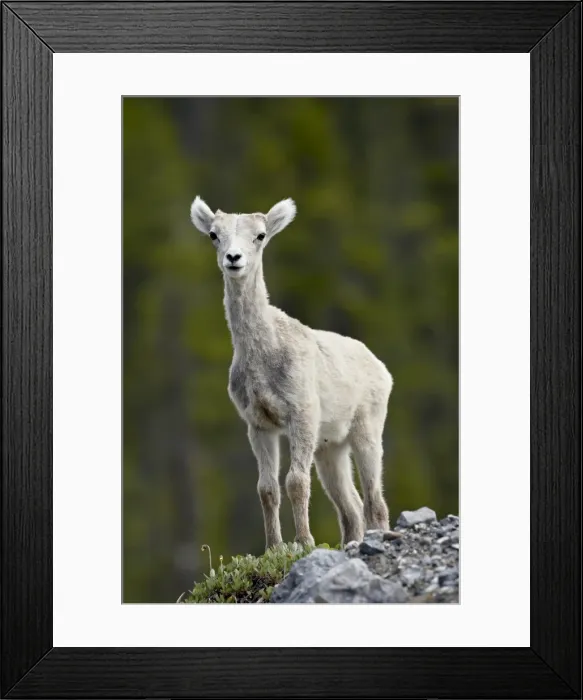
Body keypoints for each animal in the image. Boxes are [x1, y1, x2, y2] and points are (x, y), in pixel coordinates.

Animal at [190, 196, 393, 549]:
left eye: (260, 235)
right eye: (214, 235)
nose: (234, 258)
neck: (265, 357)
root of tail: (383, 371)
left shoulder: (302, 415)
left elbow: (295, 481)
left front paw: (305, 541)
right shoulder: (259, 424)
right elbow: (267, 488)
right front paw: (274, 546)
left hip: (366, 430)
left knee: (374, 501)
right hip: (330, 447)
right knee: (351, 506)